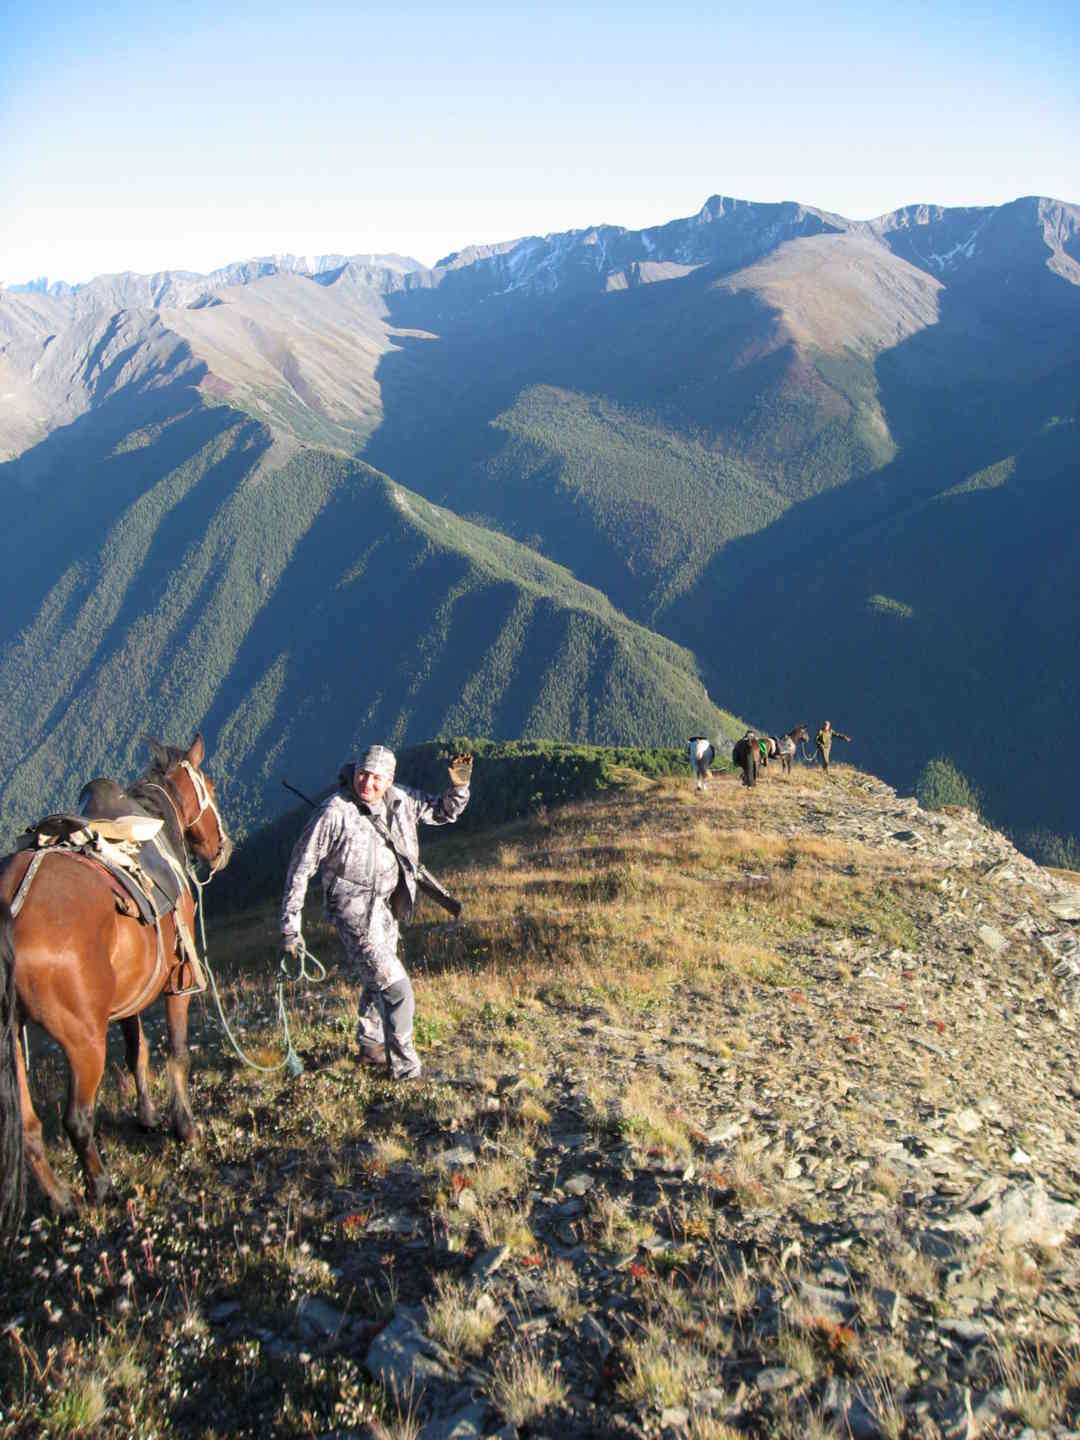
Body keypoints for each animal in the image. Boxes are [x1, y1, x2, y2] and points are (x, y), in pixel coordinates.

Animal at [0, 737, 233, 1244]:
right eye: (209, 786)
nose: (221, 847)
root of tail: (9, 905)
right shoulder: (176, 985)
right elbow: (176, 1053)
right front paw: (183, 1126)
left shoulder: (129, 996)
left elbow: (136, 1051)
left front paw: (146, 1116)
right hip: (83, 1039)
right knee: (76, 1118)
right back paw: (100, 1186)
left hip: (9, 1042)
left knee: (27, 1126)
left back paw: (62, 1199)